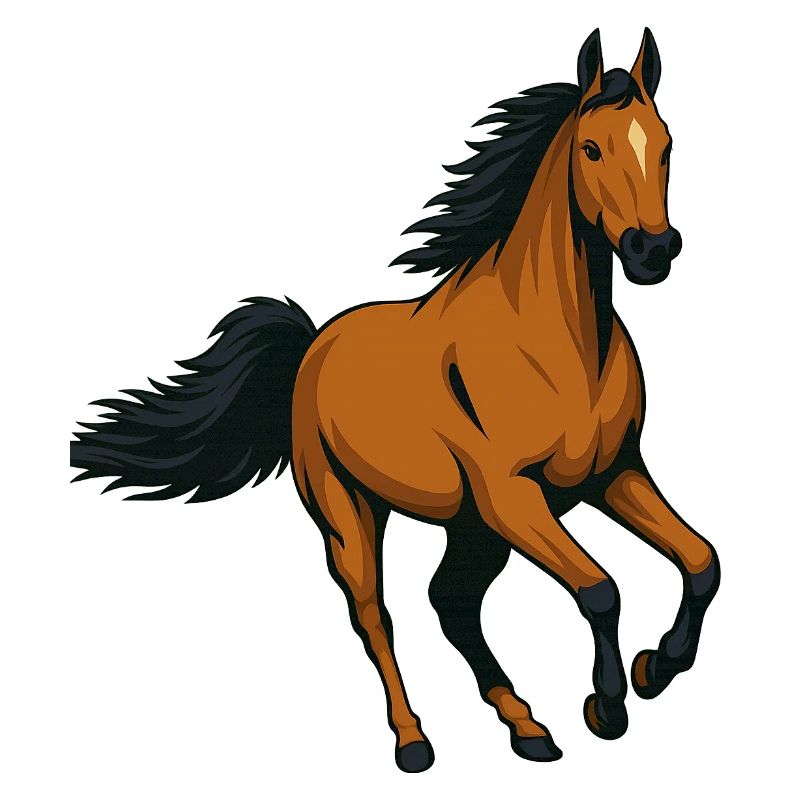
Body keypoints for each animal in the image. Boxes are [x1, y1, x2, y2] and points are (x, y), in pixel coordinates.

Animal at [71, 28, 720, 772]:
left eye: (666, 144)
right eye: (591, 149)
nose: (653, 250)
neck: (555, 343)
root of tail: (313, 343)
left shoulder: (613, 475)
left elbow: (702, 564)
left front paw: (655, 668)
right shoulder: (515, 497)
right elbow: (601, 590)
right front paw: (609, 706)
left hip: (471, 527)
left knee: (453, 604)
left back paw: (526, 727)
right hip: (350, 514)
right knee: (375, 615)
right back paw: (414, 742)